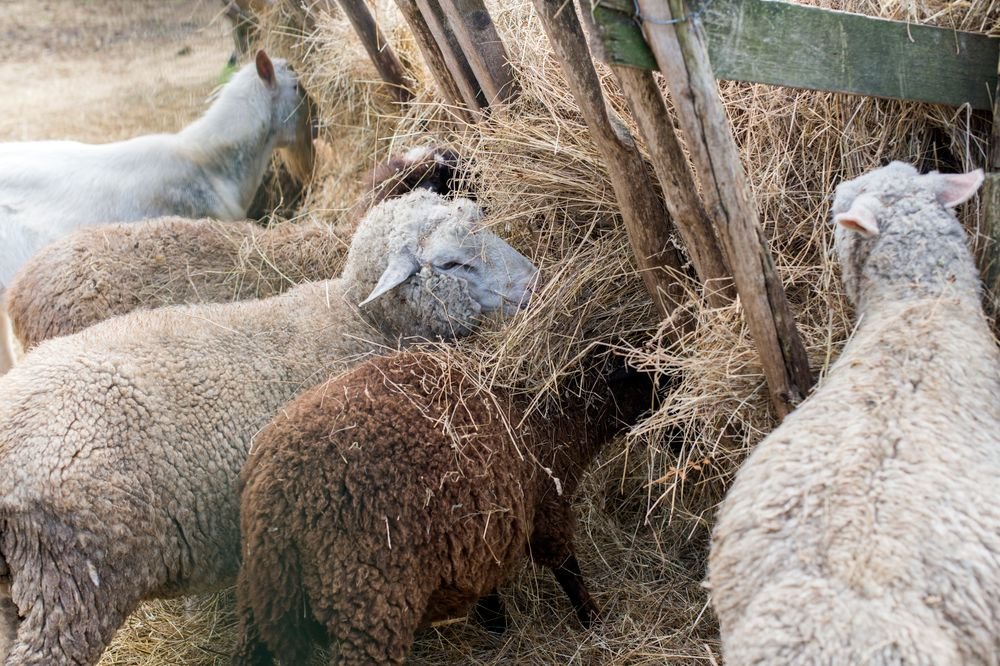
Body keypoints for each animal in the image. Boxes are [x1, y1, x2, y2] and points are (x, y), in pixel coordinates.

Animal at [231, 346, 658, 665]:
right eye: (643, 370)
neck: (551, 413)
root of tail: (275, 502)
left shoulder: (486, 526)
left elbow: (488, 579)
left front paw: (497, 624)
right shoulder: (545, 503)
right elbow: (567, 566)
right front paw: (593, 618)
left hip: (257, 603)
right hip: (367, 610)